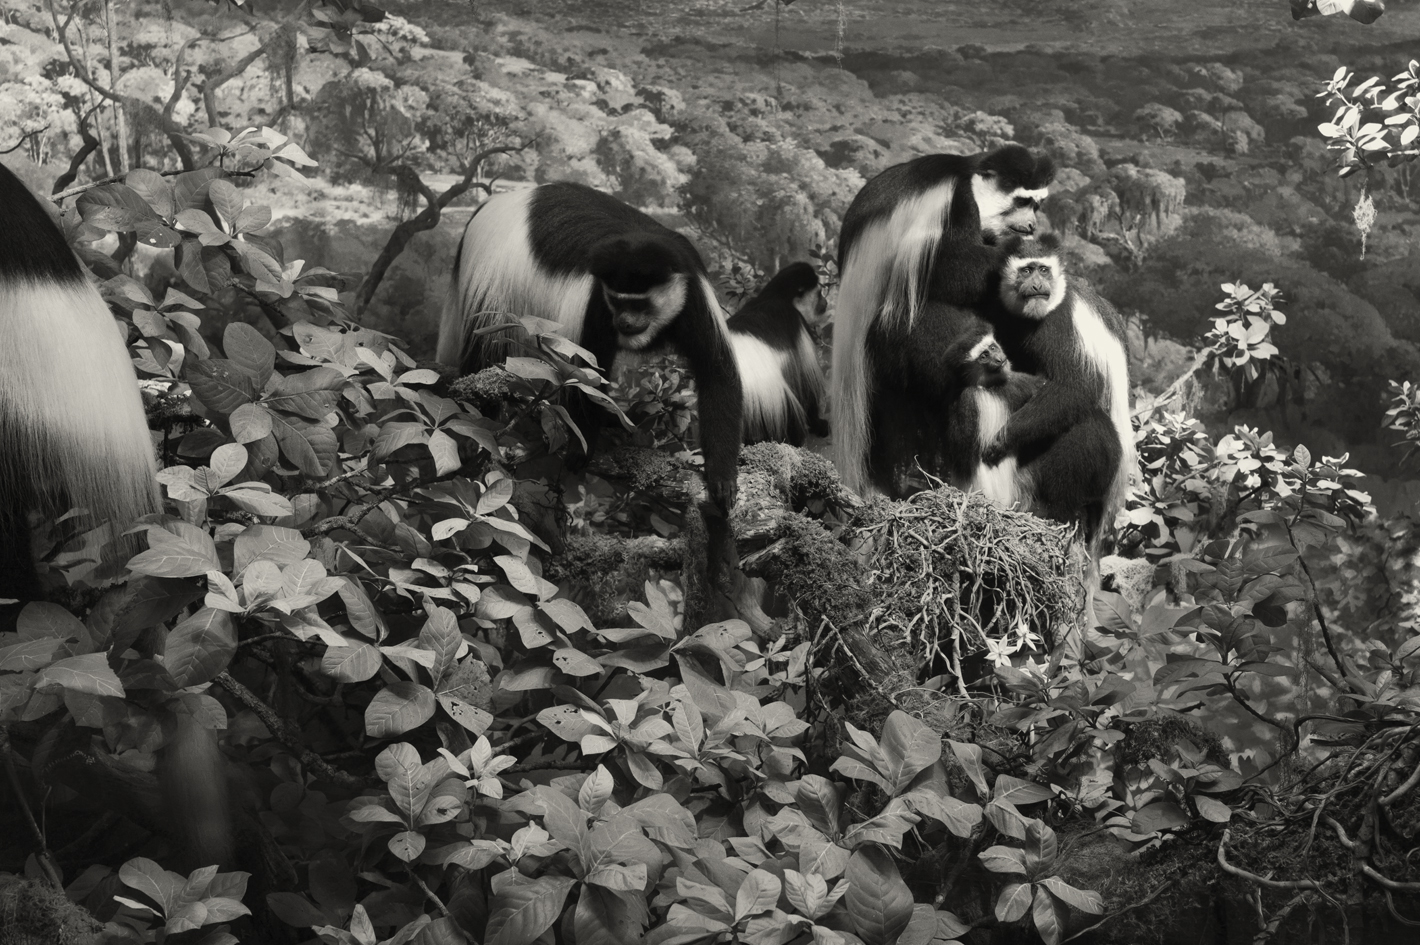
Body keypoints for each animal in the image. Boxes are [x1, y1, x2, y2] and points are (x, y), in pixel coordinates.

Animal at [436, 182, 743, 511]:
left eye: (640, 304)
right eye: (617, 300)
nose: (624, 323)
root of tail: (495, 202)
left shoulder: (694, 296)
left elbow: (716, 371)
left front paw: (722, 476)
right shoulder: (597, 304)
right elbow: (586, 373)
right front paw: (582, 443)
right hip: (490, 276)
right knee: (485, 347)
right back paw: (476, 424)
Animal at [725, 262, 829, 447]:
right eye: (819, 293)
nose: (825, 302)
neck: (777, 296)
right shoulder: (797, 322)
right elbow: (807, 380)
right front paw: (818, 423)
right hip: (771, 405)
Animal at [831, 145, 1056, 496]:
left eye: (1036, 204)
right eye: (1021, 202)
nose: (1031, 225)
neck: (967, 177)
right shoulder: (957, 205)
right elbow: (950, 266)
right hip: (898, 342)